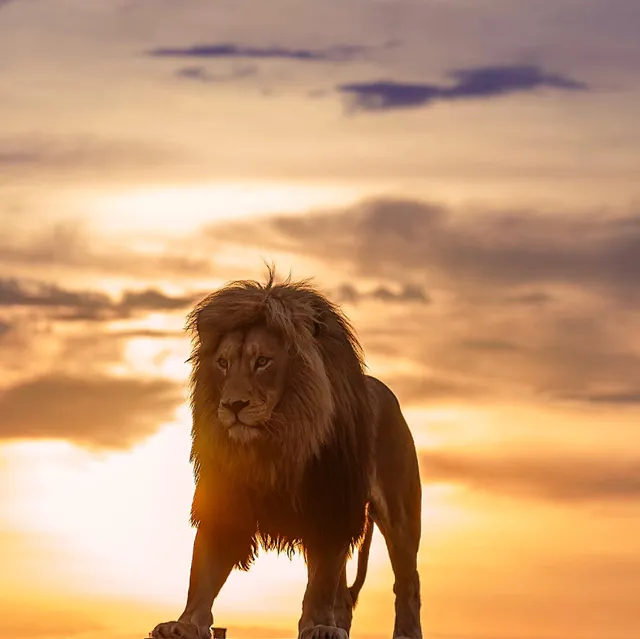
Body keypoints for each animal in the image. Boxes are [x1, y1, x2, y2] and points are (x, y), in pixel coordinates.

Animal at [150, 270, 423, 639]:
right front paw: (184, 623)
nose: (233, 406)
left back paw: (401, 633)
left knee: (407, 584)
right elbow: (203, 572)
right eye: (222, 363)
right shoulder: (225, 504)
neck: (273, 444)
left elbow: (320, 583)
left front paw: (318, 626)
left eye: (262, 361)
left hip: (400, 518)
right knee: (345, 594)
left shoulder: (332, 508)